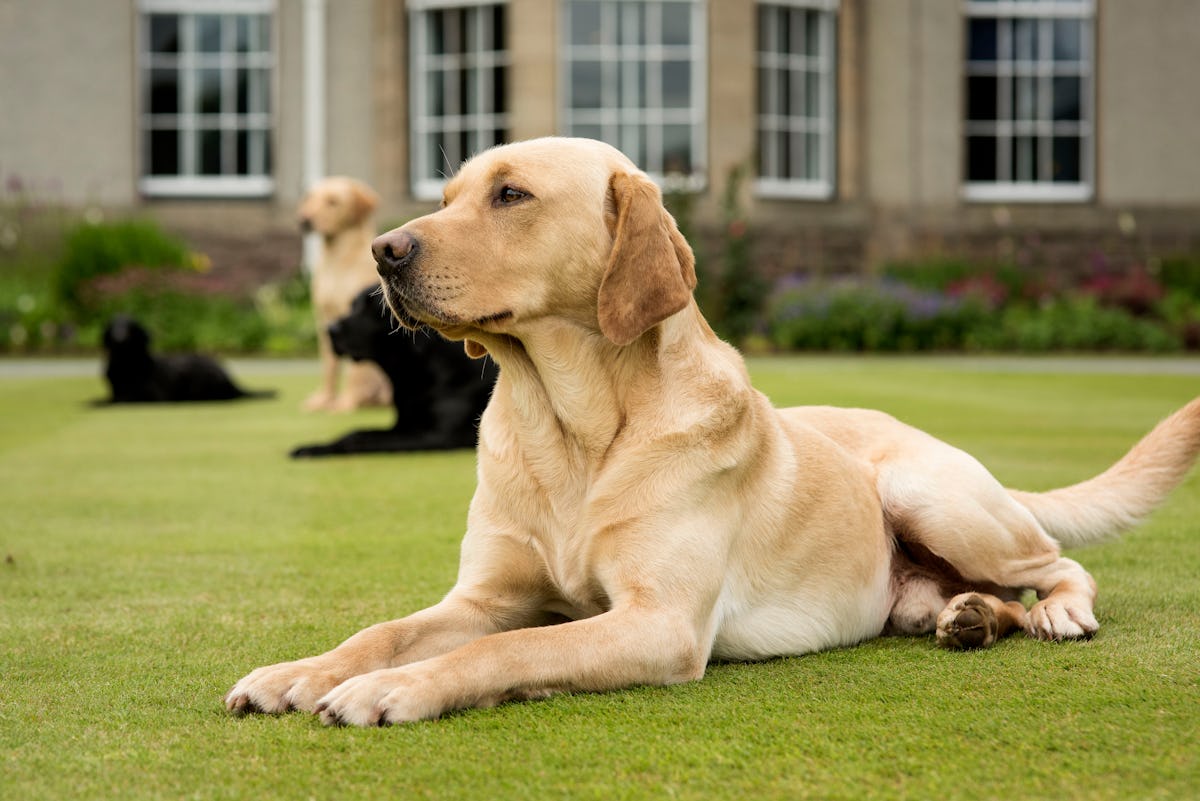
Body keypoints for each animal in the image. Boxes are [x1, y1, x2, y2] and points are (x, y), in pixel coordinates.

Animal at [97, 311, 274, 400]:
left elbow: (111, 400)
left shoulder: (150, 395)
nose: (119, 337)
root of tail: (231, 381)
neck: (125, 363)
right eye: (113, 325)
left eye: (130, 326)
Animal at [290, 287, 496, 455]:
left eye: (372, 310)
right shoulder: (401, 425)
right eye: (352, 306)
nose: (329, 330)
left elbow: (360, 441)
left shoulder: (436, 434)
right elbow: (358, 432)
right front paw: (312, 446)